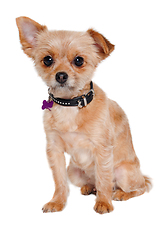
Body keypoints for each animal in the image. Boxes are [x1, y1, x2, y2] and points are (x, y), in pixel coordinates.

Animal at [15, 16, 151, 214]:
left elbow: (104, 178)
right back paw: (89, 187)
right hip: (74, 171)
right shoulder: (54, 150)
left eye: (79, 60)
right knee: (93, 182)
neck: (70, 105)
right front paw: (57, 202)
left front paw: (103, 202)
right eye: (47, 60)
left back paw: (120, 194)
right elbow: (60, 181)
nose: (61, 76)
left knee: (139, 187)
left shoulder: (102, 149)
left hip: (124, 173)